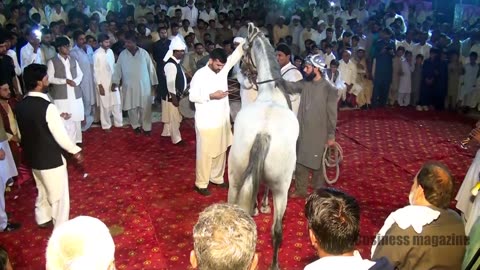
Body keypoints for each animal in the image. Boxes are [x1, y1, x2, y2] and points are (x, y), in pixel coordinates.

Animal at [227, 23, 298, 270]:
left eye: (244, 53)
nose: (238, 71)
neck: (271, 91)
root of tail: (263, 133)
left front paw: (257, 207)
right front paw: (264, 206)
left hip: (235, 177)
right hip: (282, 188)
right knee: (277, 232)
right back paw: (275, 263)